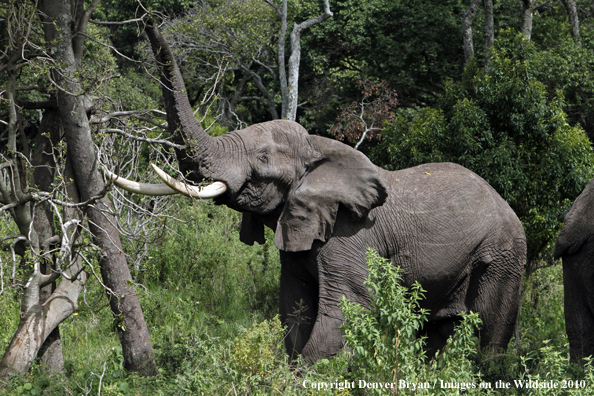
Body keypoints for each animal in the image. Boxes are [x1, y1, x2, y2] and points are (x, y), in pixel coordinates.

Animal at [106, 20, 524, 364]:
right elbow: (295, 309)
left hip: (502, 255)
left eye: (262, 157)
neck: (317, 151)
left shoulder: (351, 236)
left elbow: (343, 313)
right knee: (437, 332)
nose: (148, 18)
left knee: (490, 334)